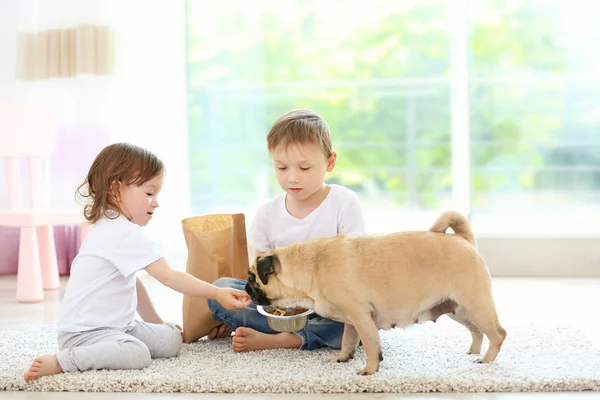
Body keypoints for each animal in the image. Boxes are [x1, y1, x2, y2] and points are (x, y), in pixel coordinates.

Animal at [245, 211, 506, 376]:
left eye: (252, 279)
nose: (246, 289)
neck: (312, 266)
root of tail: (463, 239)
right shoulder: (351, 322)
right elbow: (347, 341)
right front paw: (342, 359)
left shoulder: (361, 317)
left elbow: (371, 345)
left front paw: (370, 370)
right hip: (459, 310)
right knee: (477, 331)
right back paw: (474, 351)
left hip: (476, 305)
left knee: (498, 334)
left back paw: (485, 360)